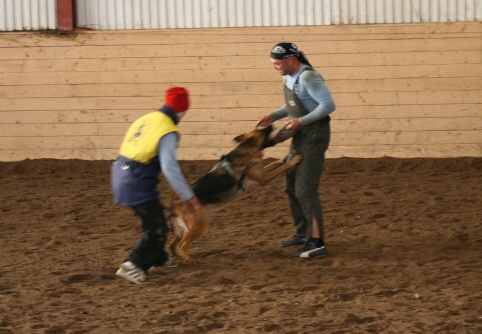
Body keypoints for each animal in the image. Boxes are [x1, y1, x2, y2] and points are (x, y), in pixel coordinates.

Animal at [168, 124, 300, 260]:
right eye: (263, 130)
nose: (270, 124)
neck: (247, 152)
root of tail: (175, 207)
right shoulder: (264, 178)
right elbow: (282, 167)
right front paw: (293, 160)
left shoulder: (261, 173)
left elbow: (275, 162)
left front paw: (284, 157)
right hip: (198, 226)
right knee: (181, 246)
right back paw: (190, 260)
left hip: (181, 230)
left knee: (171, 245)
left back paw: (176, 257)